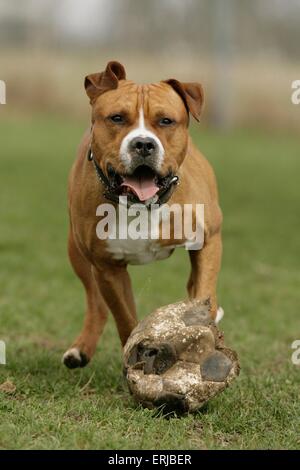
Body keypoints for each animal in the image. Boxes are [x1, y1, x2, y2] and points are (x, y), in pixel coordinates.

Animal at [62, 60, 223, 370]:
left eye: (166, 121)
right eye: (116, 118)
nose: (144, 144)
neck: (141, 205)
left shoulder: (208, 240)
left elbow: (203, 292)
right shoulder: (107, 268)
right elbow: (125, 319)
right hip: (77, 252)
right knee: (96, 302)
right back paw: (80, 349)